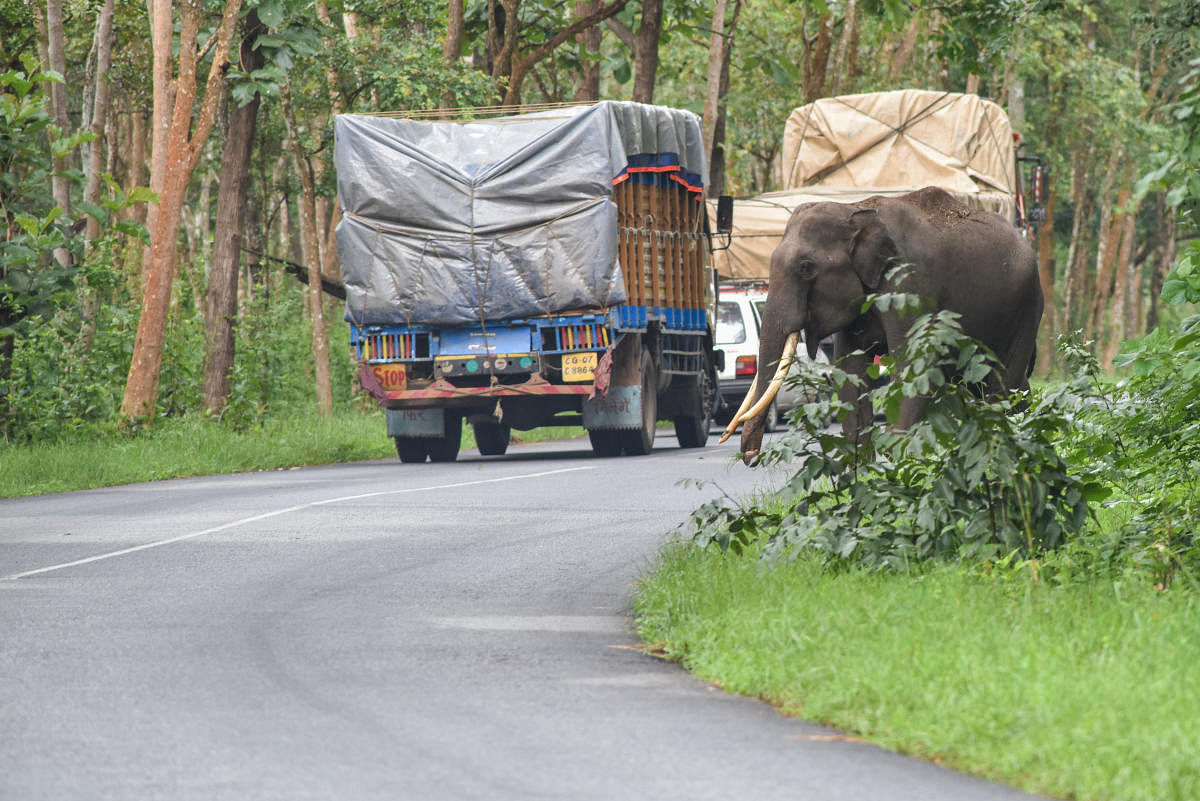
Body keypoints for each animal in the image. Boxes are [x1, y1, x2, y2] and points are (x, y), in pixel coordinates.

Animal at [720, 185, 1041, 462]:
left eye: (806, 268)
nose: (751, 455)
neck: (855, 209)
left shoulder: (909, 284)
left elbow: (915, 364)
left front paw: (896, 457)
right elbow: (849, 371)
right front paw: (860, 464)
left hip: (1026, 308)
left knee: (1002, 384)